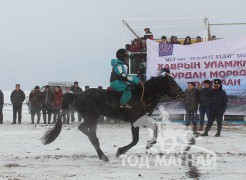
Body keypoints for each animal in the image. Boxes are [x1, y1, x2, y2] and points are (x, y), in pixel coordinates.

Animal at [41, 73, 184, 162]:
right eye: (172, 83)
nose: (182, 95)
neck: (141, 96)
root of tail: (77, 96)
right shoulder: (134, 121)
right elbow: (135, 140)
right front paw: (120, 151)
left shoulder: (142, 119)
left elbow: (155, 127)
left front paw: (150, 144)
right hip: (91, 117)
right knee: (86, 131)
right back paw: (102, 154)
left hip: (93, 118)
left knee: (88, 132)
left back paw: (101, 153)